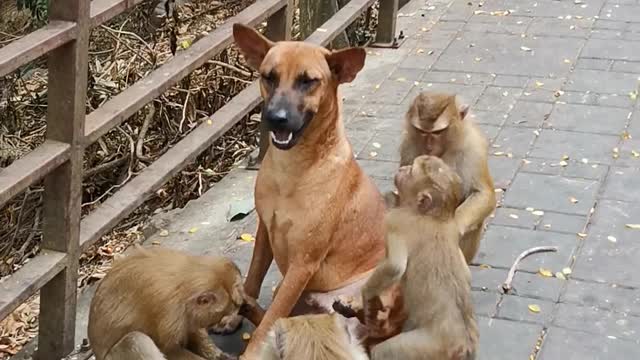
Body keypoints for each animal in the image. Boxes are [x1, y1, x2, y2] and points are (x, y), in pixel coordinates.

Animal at [90, 246, 248, 360]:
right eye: (228, 309)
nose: (221, 320)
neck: (182, 283)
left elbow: (191, 329)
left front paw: (219, 356)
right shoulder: (169, 311)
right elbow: (169, 349)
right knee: (135, 339)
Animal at [234, 23, 388, 358]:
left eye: (308, 81)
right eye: (269, 76)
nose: (275, 118)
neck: (291, 171)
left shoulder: (303, 263)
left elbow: (272, 319)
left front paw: (252, 350)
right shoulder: (265, 232)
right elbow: (253, 278)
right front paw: (235, 310)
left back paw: (353, 306)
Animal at [362, 155, 478, 360]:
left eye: (410, 172)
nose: (402, 168)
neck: (436, 217)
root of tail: (464, 344)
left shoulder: (395, 221)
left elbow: (395, 267)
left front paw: (366, 295)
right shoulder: (454, 226)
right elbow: (466, 272)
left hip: (429, 347)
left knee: (383, 352)